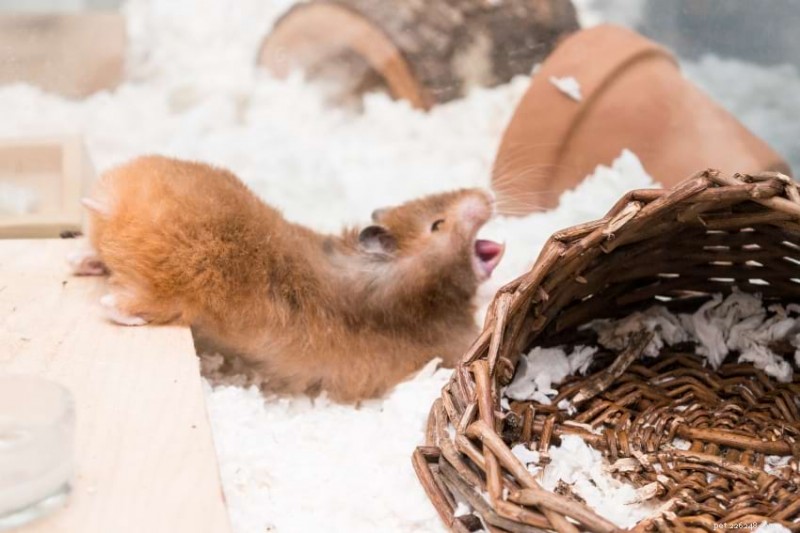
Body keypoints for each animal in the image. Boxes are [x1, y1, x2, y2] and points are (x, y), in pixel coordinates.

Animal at [70, 156, 505, 402]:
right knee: (117, 305)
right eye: (438, 224)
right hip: (171, 290)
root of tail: (111, 204)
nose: (487, 195)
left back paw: (83, 261)